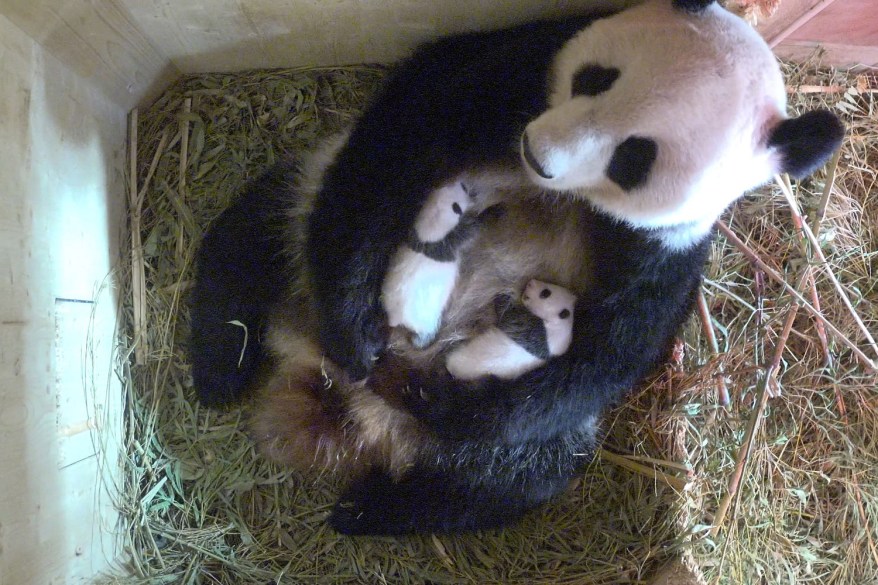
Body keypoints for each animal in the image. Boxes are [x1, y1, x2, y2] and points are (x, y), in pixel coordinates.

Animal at [191, 0, 844, 536]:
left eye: (633, 159)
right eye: (595, 79)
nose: (539, 152)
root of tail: (346, 410)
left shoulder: (663, 249)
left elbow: (612, 352)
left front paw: (445, 399)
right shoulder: (513, 70)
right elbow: (398, 137)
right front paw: (356, 335)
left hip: (521, 453)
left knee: (514, 478)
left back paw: (369, 506)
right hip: (300, 209)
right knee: (249, 239)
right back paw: (222, 371)